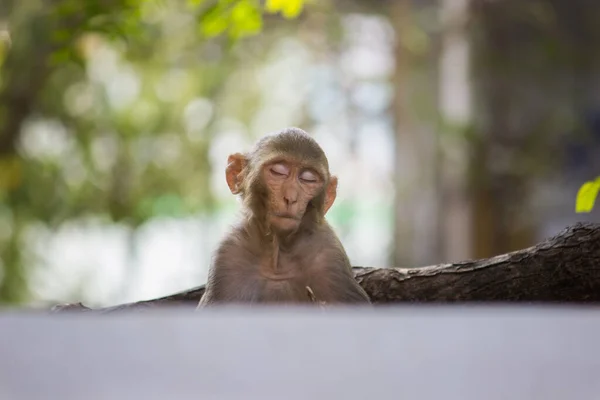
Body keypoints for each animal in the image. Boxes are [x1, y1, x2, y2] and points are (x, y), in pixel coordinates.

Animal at [197, 128, 372, 306]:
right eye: (278, 172)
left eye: (308, 179)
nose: (291, 198)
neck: (278, 255)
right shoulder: (227, 256)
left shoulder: (332, 258)